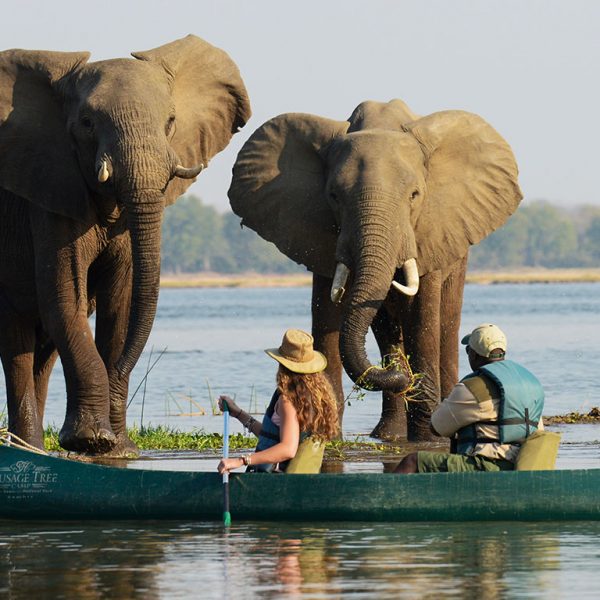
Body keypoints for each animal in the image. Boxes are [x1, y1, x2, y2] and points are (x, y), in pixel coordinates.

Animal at [0, 34, 251, 454]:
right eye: (87, 123)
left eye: (170, 122)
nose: (117, 377)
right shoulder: (50, 196)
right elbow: (65, 299)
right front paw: (91, 440)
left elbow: (119, 303)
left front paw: (118, 449)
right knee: (19, 339)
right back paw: (28, 448)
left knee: (41, 348)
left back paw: (31, 448)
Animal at [229, 99, 520, 440]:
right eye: (334, 196)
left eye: (415, 195)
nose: (398, 374)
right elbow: (326, 311)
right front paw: (328, 436)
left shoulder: (431, 231)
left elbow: (422, 314)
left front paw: (428, 438)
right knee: (385, 327)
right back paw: (389, 433)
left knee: (447, 321)